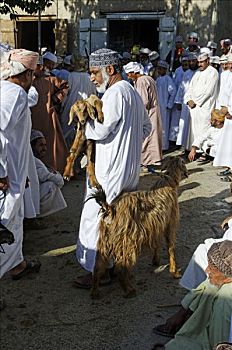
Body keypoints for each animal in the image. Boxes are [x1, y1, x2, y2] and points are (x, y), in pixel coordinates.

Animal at [89, 157, 188, 296]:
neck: (168, 179)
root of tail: (110, 209)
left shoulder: (156, 226)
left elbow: (156, 244)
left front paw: (156, 261)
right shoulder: (170, 224)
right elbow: (171, 248)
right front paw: (174, 272)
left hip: (104, 242)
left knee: (97, 267)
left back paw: (94, 291)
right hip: (128, 242)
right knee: (121, 266)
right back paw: (129, 289)